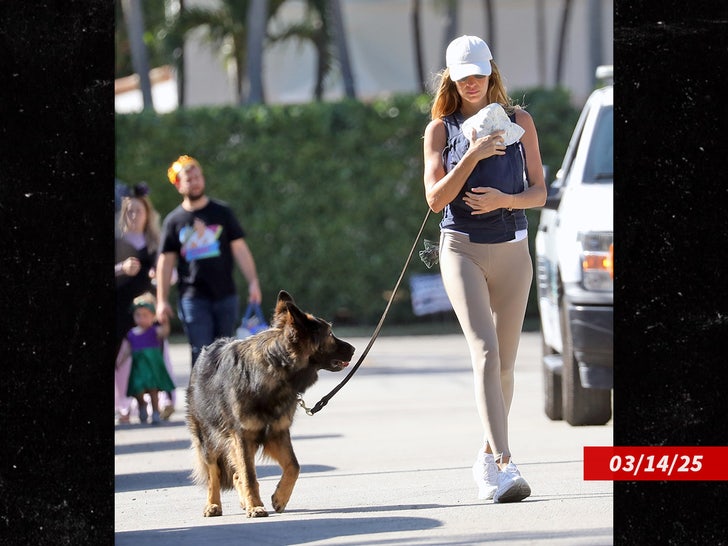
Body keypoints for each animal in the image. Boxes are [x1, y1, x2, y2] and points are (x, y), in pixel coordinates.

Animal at [186, 288, 354, 516]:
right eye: (329, 334)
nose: (354, 349)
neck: (274, 369)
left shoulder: (277, 432)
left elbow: (294, 466)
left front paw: (279, 498)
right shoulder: (243, 436)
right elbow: (249, 475)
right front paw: (256, 506)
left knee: (235, 473)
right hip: (208, 439)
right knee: (214, 473)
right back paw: (213, 505)